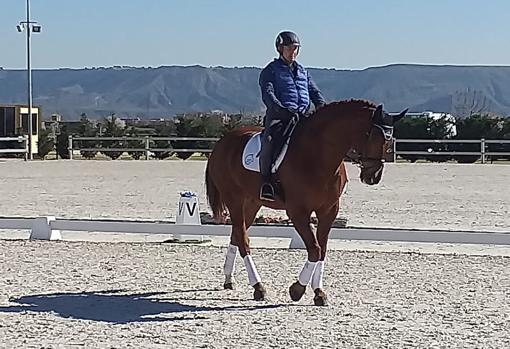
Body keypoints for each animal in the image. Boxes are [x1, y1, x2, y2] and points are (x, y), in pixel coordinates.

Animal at [205, 98, 404, 304]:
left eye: (389, 140)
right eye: (371, 135)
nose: (372, 176)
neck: (318, 156)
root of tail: (223, 142)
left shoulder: (329, 211)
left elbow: (322, 249)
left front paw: (319, 292)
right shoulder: (298, 212)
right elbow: (314, 249)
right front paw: (297, 289)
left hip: (252, 202)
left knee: (236, 235)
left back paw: (229, 279)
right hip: (234, 199)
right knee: (243, 241)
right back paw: (258, 287)